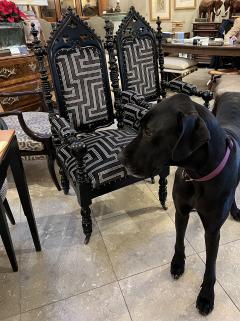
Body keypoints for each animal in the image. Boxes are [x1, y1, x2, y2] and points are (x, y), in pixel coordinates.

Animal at [119, 92, 240, 316]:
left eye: (148, 131)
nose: (119, 158)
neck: (197, 176)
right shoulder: (181, 212)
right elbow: (179, 241)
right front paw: (177, 263)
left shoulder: (212, 230)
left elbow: (210, 265)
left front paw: (206, 296)